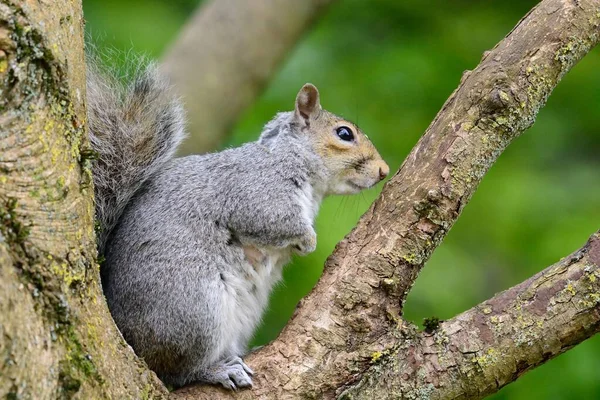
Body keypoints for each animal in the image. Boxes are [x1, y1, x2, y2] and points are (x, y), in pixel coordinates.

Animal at [88, 61, 390, 390]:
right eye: (344, 133)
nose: (384, 170)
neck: (290, 158)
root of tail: (128, 336)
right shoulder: (254, 192)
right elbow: (271, 220)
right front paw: (309, 240)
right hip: (195, 310)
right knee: (174, 372)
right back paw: (218, 370)